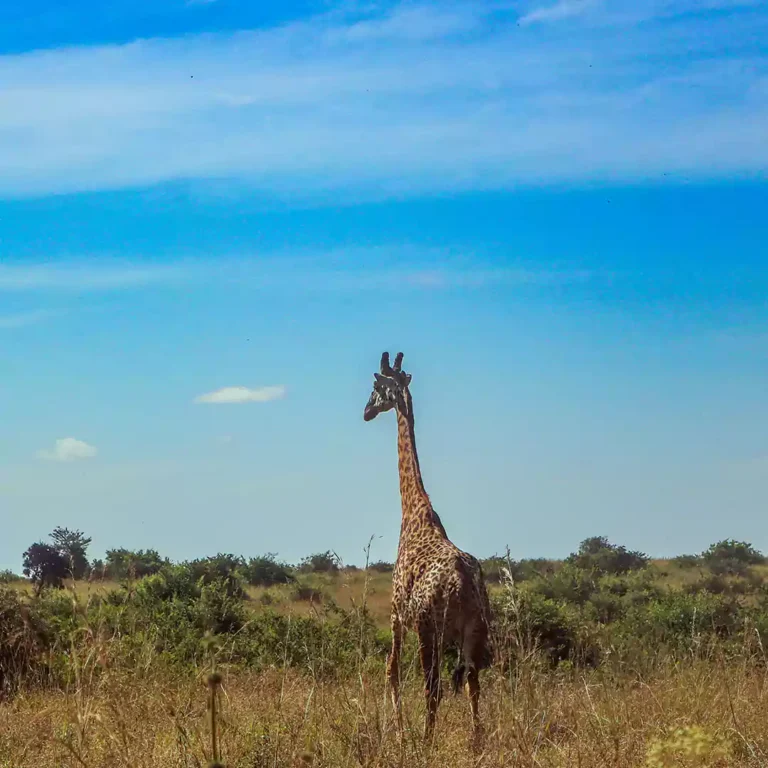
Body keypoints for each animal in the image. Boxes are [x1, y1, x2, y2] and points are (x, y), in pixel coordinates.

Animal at [362, 352, 492, 744]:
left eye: (376, 389)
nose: (366, 411)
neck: (414, 511)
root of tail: (463, 584)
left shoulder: (395, 613)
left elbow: (391, 669)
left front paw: (398, 730)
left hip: (428, 628)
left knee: (432, 684)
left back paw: (425, 738)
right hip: (475, 630)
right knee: (473, 683)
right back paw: (477, 741)